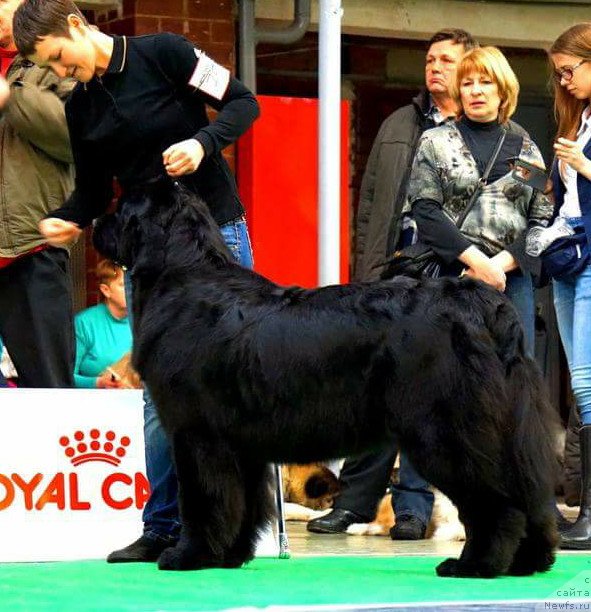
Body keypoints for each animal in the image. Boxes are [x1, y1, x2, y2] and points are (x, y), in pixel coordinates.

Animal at [96, 179, 560, 576]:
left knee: (497, 502)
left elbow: (202, 499)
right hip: (505, 431)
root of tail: (485, 305)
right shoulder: (241, 443)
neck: (183, 276)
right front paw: (230, 557)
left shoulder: (197, 433)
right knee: (530, 493)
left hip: (448, 432)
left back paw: (475, 565)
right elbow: (243, 503)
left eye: (121, 209)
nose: (97, 222)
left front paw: (190, 556)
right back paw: (528, 562)